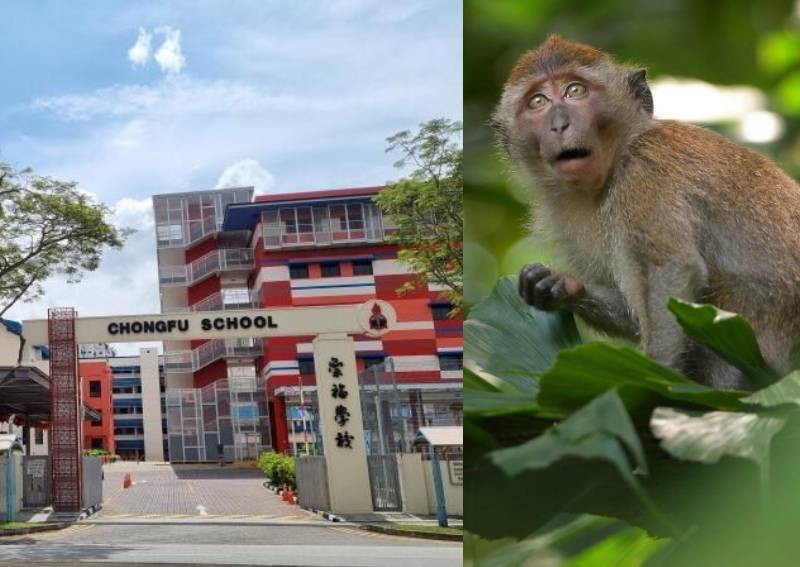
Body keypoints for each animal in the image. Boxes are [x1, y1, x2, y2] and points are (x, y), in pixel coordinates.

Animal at [491, 34, 800, 391]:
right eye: (538, 102)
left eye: (575, 91)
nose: (558, 124)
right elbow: (634, 311)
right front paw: (555, 284)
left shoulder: (645, 172)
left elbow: (673, 273)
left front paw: (654, 382)